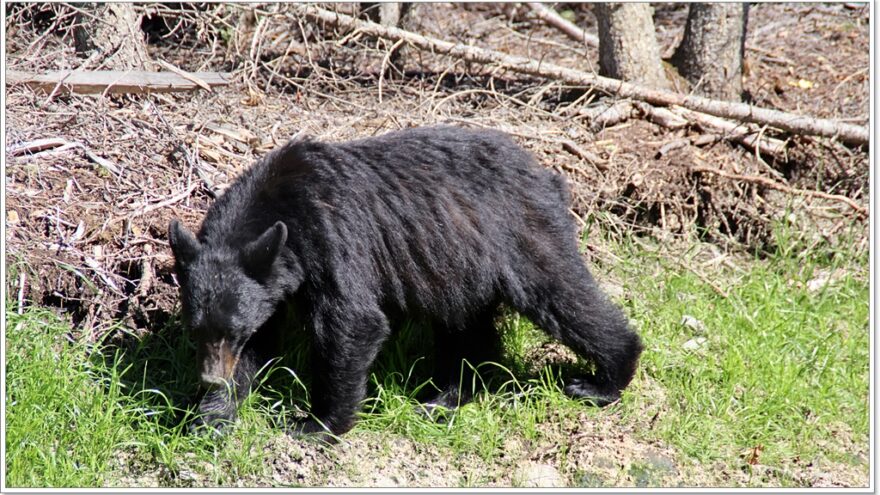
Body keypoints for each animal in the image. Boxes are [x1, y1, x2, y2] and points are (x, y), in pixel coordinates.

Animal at [168, 125, 644, 442]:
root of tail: (550, 176)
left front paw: (315, 424)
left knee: (562, 295)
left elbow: (352, 322)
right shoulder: (272, 281)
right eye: (197, 329)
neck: (283, 207)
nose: (209, 378)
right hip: (460, 266)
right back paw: (445, 396)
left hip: (521, 236)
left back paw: (603, 381)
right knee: (466, 328)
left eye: (232, 330)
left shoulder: (333, 239)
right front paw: (209, 418)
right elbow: (263, 339)